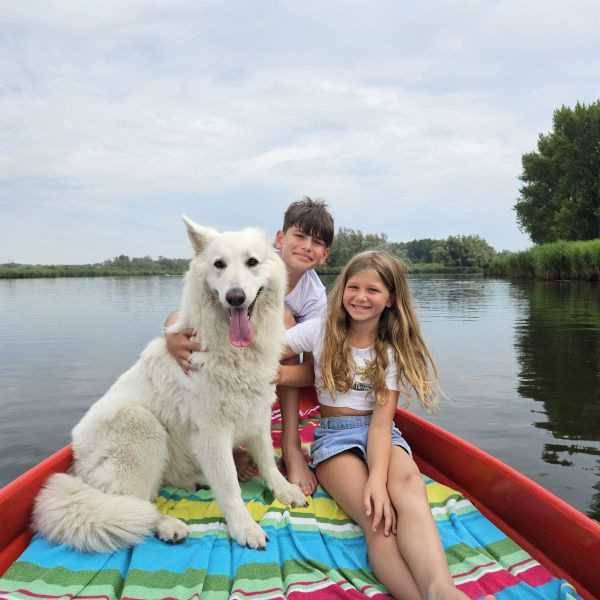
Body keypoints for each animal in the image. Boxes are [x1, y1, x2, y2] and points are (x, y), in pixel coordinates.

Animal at [32, 216, 304, 552]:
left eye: (252, 262)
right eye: (219, 264)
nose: (235, 297)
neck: (232, 353)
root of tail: (78, 468)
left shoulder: (257, 417)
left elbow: (268, 461)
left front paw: (285, 489)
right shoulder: (212, 433)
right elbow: (229, 487)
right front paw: (244, 527)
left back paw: (197, 481)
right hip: (141, 426)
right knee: (137, 504)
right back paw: (167, 525)